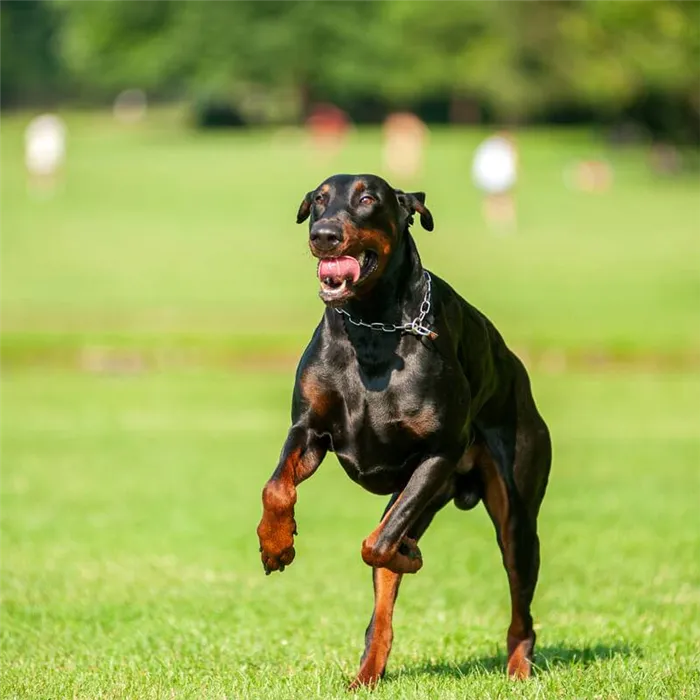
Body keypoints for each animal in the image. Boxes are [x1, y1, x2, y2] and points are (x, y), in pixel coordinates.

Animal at [258, 172, 552, 688]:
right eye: (318, 200)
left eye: (367, 198)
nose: (323, 235)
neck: (372, 328)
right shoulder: (309, 429)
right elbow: (277, 488)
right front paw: (276, 544)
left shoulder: (439, 452)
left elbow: (375, 544)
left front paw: (408, 554)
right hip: (416, 497)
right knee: (383, 604)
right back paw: (366, 674)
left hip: (514, 515)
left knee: (521, 608)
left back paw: (518, 668)